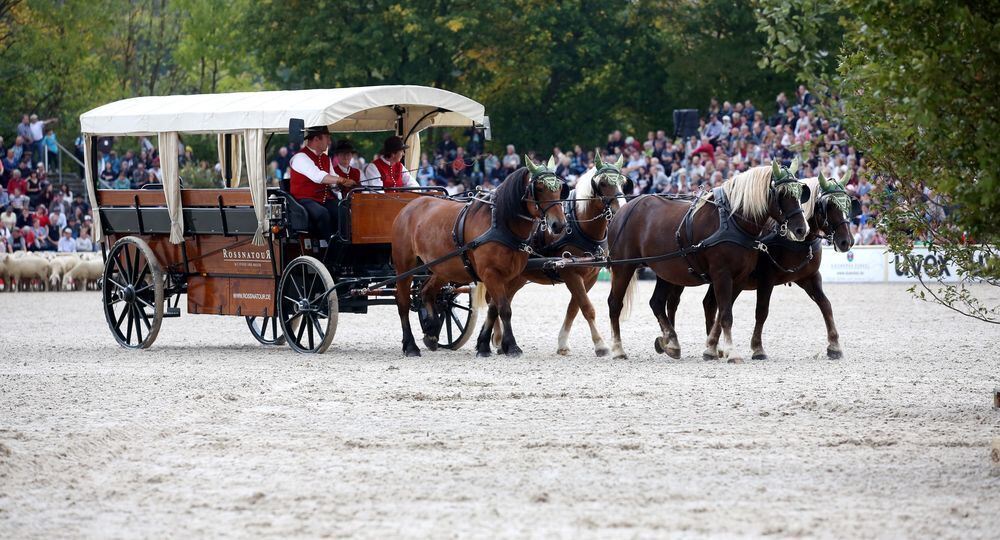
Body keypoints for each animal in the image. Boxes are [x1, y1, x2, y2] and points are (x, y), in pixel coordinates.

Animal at [390, 165, 568, 358]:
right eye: (539, 188)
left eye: (560, 189)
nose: (559, 224)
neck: (501, 226)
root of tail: (409, 206)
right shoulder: (490, 274)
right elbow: (504, 309)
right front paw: (512, 346)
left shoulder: (508, 276)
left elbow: (494, 308)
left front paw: (484, 345)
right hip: (404, 266)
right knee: (403, 303)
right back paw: (410, 345)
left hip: (443, 268)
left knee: (426, 292)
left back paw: (431, 332)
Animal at [492, 154, 624, 356]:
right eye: (602, 183)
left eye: (622, 182)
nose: (622, 208)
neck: (580, 227)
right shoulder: (571, 273)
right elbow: (587, 308)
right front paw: (600, 344)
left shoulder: (590, 277)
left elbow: (574, 308)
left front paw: (562, 343)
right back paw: (498, 340)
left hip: (517, 277)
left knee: (503, 299)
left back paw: (499, 340)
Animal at [600, 160, 812, 362]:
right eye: (782, 193)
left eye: (800, 193)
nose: (802, 229)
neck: (732, 221)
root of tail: (624, 209)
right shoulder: (721, 275)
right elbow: (725, 315)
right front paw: (731, 353)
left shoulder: (739, 278)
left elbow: (721, 313)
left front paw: (712, 348)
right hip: (624, 267)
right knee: (614, 304)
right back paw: (618, 349)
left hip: (665, 270)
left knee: (657, 303)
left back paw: (672, 343)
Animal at [660, 171, 864, 360]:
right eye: (829, 206)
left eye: (848, 204)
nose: (847, 241)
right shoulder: (766, 278)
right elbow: (761, 311)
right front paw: (757, 348)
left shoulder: (809, 277)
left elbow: (826, 305)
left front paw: (834, 345)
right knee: (674, 303)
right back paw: (670, 341)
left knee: (708, 304)